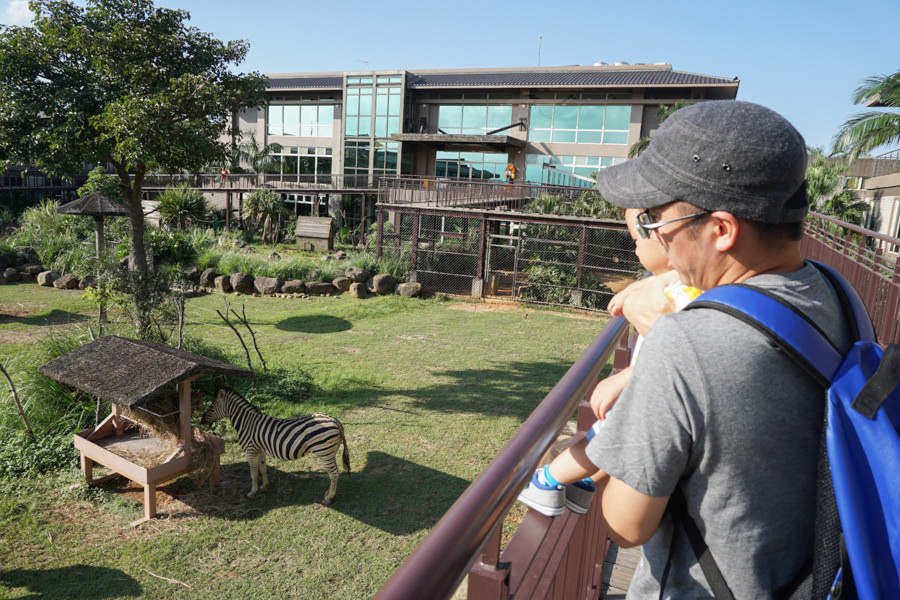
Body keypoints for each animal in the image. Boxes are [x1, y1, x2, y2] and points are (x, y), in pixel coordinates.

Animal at [202, 386, 350, 504]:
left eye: (212, 407)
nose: (201, 420)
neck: (247, 423)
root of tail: (335, 420)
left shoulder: (250, 451)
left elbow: (253, 473)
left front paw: (253, 492)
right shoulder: (260, 450)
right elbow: (263, 469)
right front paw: (264, 486)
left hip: (324, 452)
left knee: (334, 474)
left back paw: (329, 498)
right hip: (330, 452)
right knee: (334, 472)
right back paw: (328, 493)